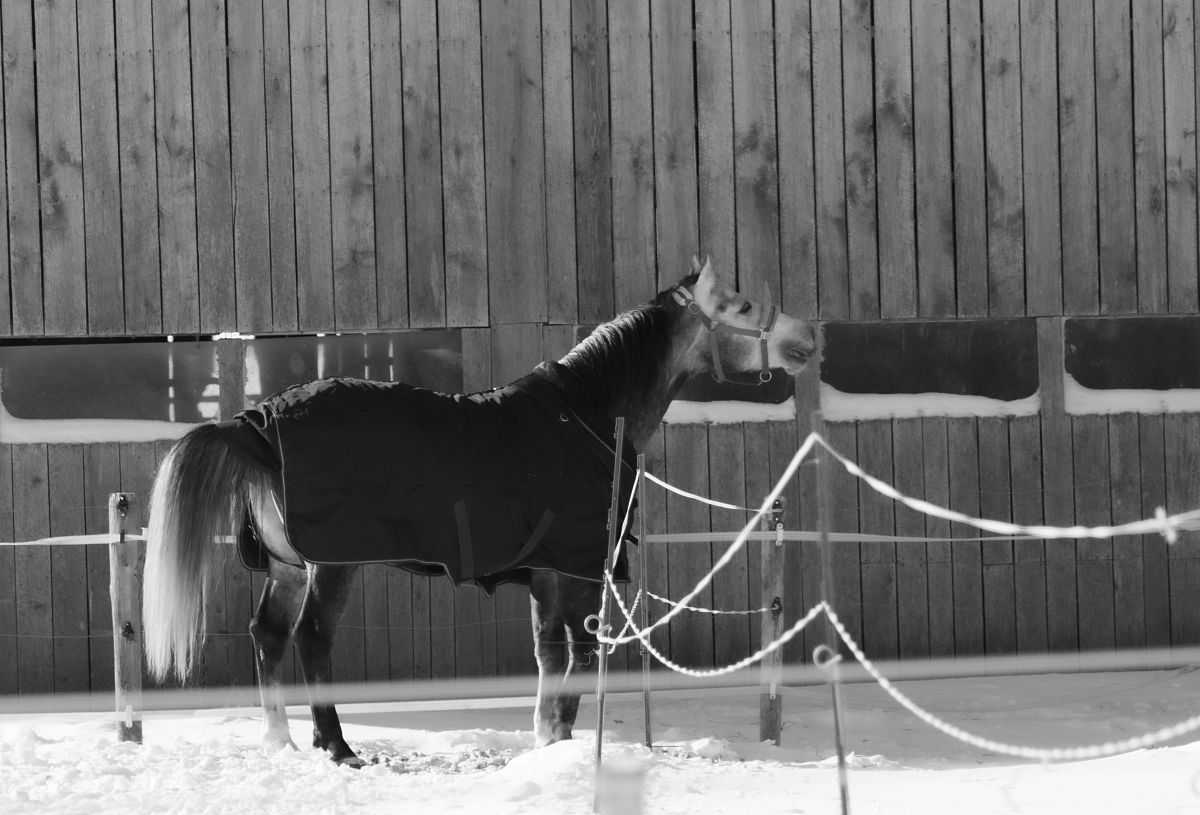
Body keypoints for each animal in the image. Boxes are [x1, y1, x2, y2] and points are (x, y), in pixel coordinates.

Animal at [141, 255, 816, 766]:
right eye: (741, 307)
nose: (807, 339)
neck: (584, 417)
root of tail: (260, 420)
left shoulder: (555, 576)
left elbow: (559, 655)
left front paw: (552, 741)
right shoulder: (569, 570)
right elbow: (573, 653)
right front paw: (557, 740)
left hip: (286, 566)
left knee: (269, 636)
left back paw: (280, 741)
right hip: (332, 564)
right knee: (310, 640)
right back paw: (337, 748)